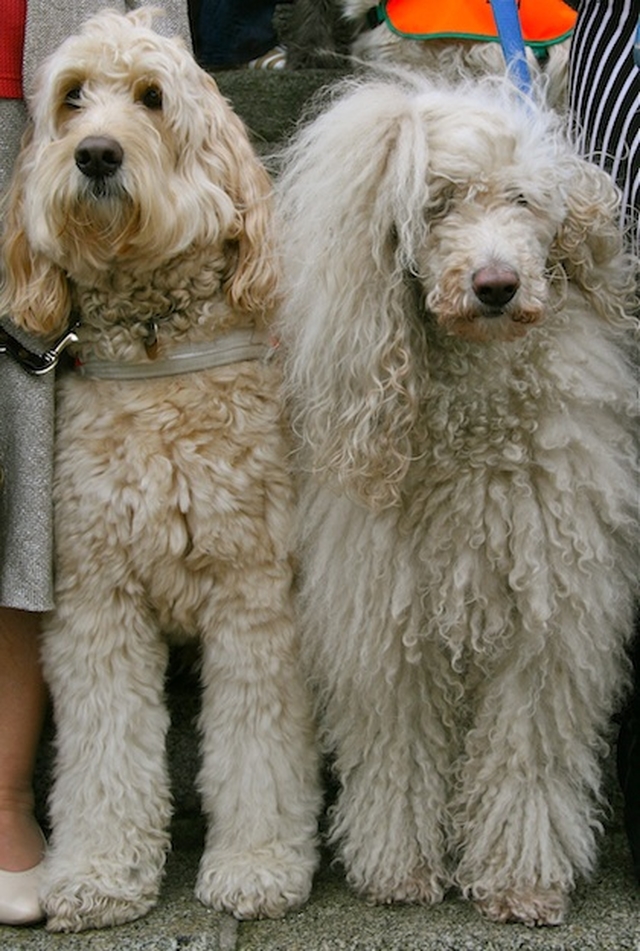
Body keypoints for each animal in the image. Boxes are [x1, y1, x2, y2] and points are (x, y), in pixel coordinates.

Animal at [0, 5, 320, 928]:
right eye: (73, 98)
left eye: (151, 98)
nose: (97, 155)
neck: (152, 345)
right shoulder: (98, 597)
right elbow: (105, 748)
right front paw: (99, 870)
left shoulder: (255, 593)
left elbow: (257, 746)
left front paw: (256, 864)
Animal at [278, 76, 640, 928]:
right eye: (436, 203)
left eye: (522, 200)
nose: (497, 286)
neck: (478, 423)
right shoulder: (390, 622)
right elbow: (399, 747)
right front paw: (397, 866)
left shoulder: (547, 623)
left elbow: (524, 755)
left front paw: (519, 879)